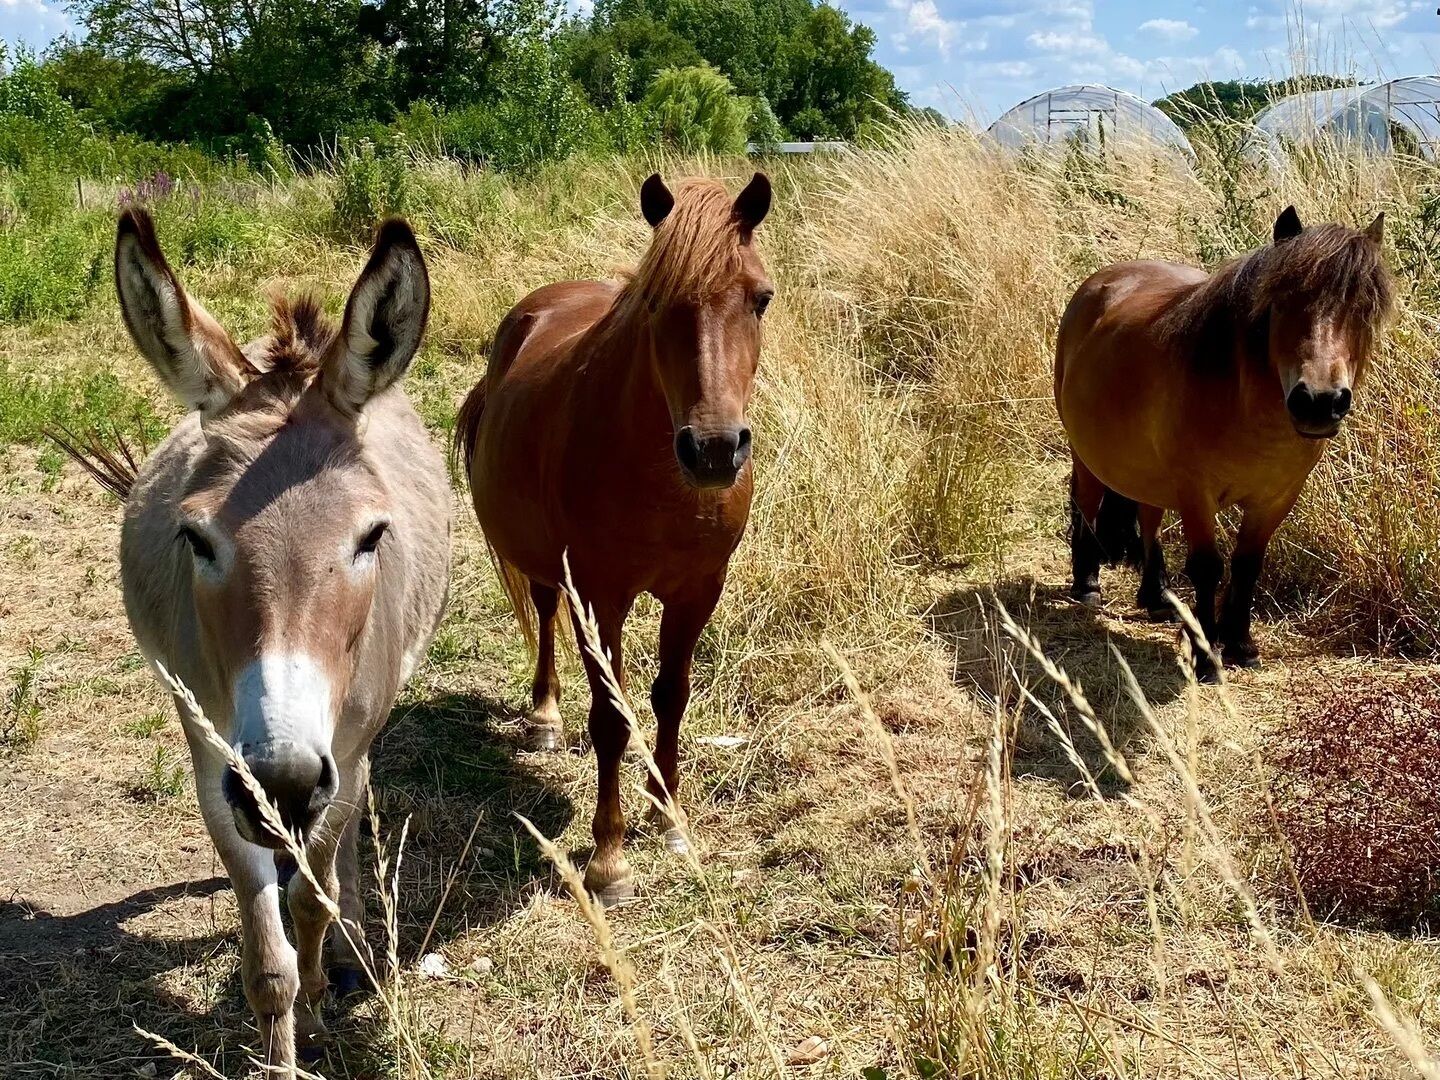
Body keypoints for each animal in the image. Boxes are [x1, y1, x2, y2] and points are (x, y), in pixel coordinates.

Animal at [103, 208, 449, 1072]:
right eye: (195, 539)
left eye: (372, 537)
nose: (283, 782)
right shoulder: (211, 759)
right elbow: (268, 960)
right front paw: (286, 1048)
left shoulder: (342, 750)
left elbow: (310, 900)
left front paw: (324, 1003)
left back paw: (352, 945)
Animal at [455, 172, 773, 904]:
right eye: (654, 301)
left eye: (761, 298)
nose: (714, 451)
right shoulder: (601, 595)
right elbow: (611, 717)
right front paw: (608, 859)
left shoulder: (698, 591)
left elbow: (670, 696)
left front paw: (670, 817)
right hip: (548, 567)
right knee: (544, 613)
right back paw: (545, 717)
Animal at [1055, 206, 1393, 681]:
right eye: (1281, 302)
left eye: (1363, 308)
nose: (1319, 402)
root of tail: (1102, 281)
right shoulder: (1197, 493)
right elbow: (1207, 567)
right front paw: (1206, 658)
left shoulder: (1276, 497)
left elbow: (1247, 565)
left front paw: (1241, 645)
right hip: (1087, 455)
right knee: (1086, 503)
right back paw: (1086, 585)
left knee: (1148, 515)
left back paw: (1156, 597)